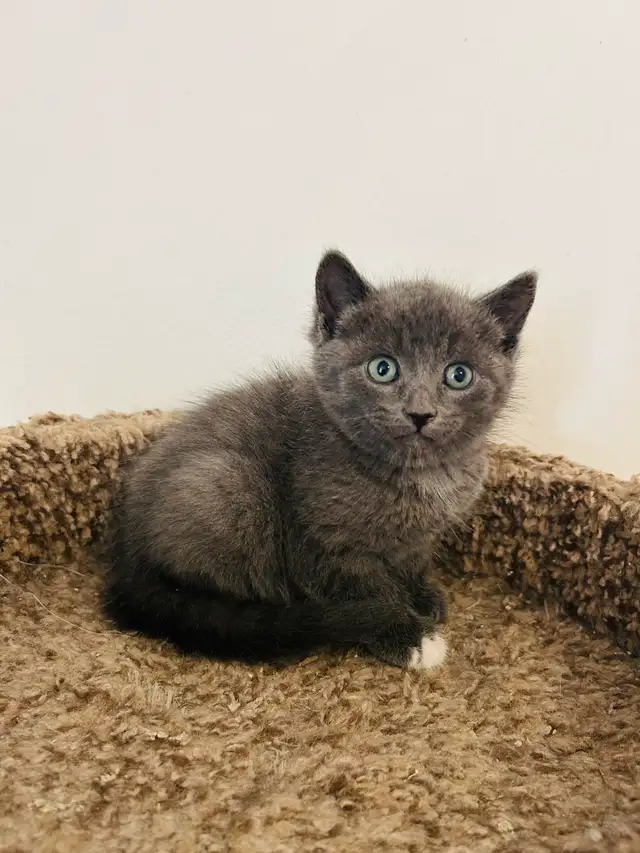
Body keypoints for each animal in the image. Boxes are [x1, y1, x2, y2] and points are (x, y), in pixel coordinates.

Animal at [104, 250, 536, 669]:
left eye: (459, 375)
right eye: (383, 368)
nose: (420, 413)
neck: (417, 475)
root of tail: (126, 556)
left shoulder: (419, 539)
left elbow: (410, 563)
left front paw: (421, 596)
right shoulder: (322, 544)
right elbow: (370, 591)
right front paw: (405, 634)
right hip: (228, 485)